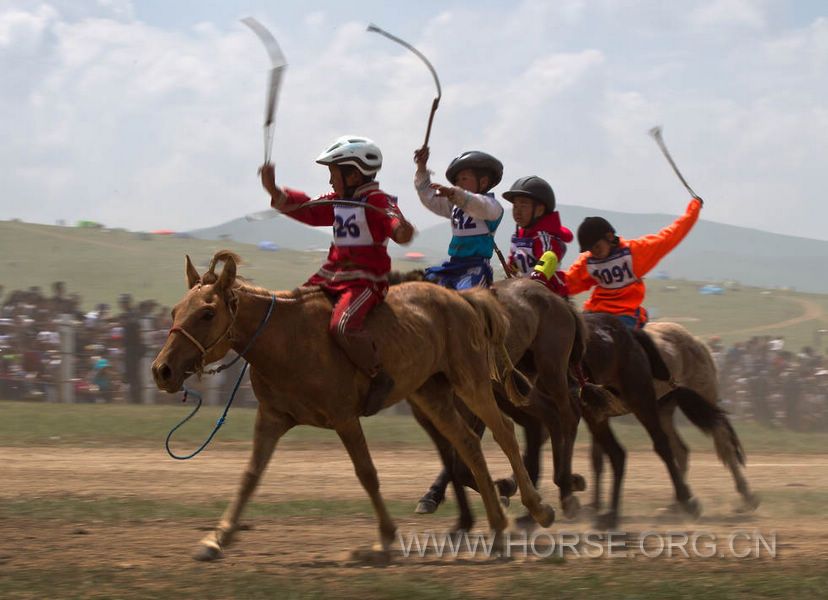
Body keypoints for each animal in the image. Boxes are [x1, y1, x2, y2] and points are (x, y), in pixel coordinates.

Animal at [154, 251, 556, 560]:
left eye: (207, 313)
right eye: (175, 311)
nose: (162, 370)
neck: (286, 339)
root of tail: (465, 299)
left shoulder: (345, 418)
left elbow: (367, 474)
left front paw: (386, 538)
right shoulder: (271, 419)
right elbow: (250, 476)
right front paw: (216, 538)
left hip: (469, 381)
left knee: (503, 432)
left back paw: (537, 509)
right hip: (431, 393)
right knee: (468, 443)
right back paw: (498, 528)